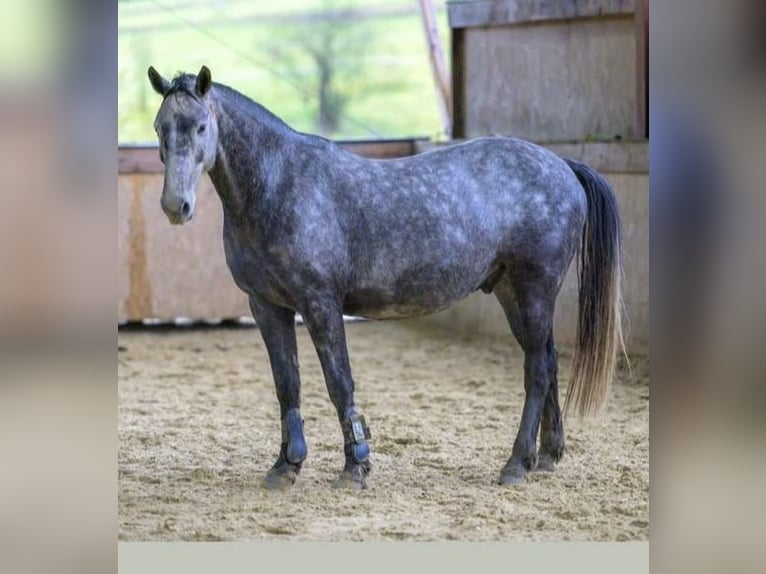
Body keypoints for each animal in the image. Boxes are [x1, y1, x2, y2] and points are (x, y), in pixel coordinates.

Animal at [148, 66, 624, 490]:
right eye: (159, 128)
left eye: (202, 126)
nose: (176, 206)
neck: (278, 186)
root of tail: (561, 164)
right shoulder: (267, 306)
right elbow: (287, 385)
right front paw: (286, 467)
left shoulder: (320, 304)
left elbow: (339, 383)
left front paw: (355, 467)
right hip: (512, 291)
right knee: (547, 359)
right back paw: (547, 456)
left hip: (535, 286)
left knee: (538, 369)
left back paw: (516, 464)